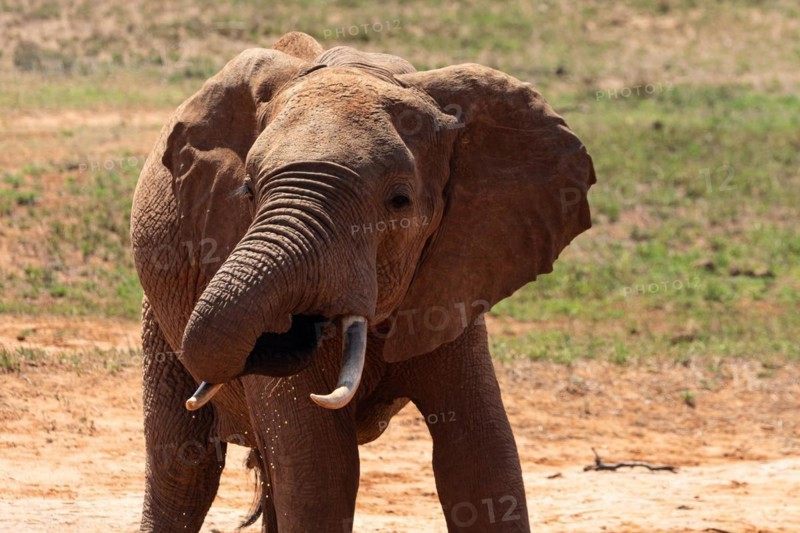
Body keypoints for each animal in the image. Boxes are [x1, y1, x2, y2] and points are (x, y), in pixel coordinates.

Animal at [130, 31, 595, 533]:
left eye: (399, 201)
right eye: (248, 191)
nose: (289, 334)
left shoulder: (453, 275)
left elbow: (481, 454)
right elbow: (320, 467)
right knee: (184, 466)